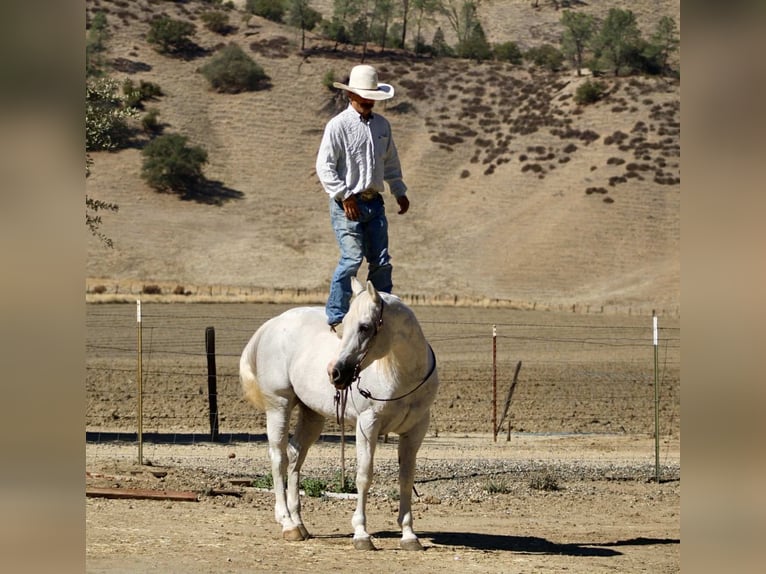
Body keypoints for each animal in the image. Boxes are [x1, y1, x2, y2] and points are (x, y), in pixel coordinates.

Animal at [239, 278, 439, 550]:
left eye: (365, 327)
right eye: (346, 324)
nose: (335, 372)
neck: (403, 376)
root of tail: (273, 324)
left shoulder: (415, 431)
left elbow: (406, 479)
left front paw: (409, 536)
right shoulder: (368, 425)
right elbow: (364, 476)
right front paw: (362, 534)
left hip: (312, 415)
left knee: (295, 455)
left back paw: (299, 524)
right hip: (278, 405)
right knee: (279, 458)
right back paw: (287, 524)